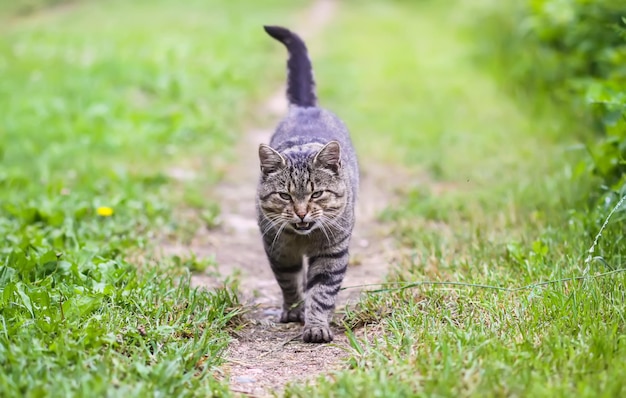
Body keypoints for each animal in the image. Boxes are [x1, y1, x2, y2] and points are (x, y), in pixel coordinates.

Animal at [256, 25, 358, 342]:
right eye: (285, 196)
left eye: (317, 194)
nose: (301, 212)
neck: (303, 238)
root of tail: (306, 108)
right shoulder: (278, 249)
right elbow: (289, 283)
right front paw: (293, 312)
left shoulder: (332, 252)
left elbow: (322, 292)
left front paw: (316, 325)